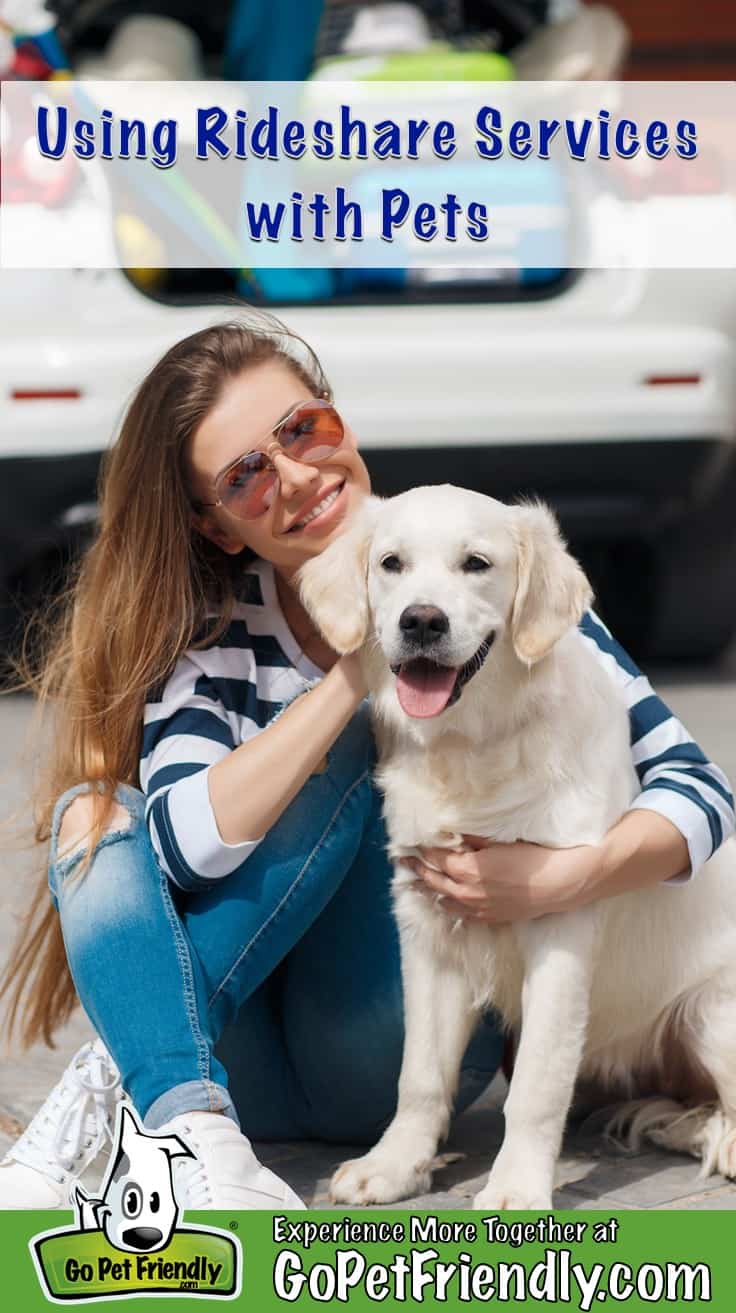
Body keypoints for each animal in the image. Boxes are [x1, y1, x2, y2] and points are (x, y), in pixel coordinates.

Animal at [296, 485, 734, 1207]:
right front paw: (395, 1165)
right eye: (391, 563)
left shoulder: (560, 922)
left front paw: (517, 1188)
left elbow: (535, 1084)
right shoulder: (426, 923)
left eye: (477, 563)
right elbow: (419, 1074)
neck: (473, 745)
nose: (422, 620)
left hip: (710, 1015)